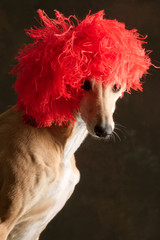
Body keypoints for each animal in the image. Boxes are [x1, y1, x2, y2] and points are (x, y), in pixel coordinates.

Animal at [0, 9, 151, 240]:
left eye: (117, 86)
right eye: (83, 83)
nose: (104, 130)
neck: (58, 144)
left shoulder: (30, 228)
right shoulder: (4, 221)